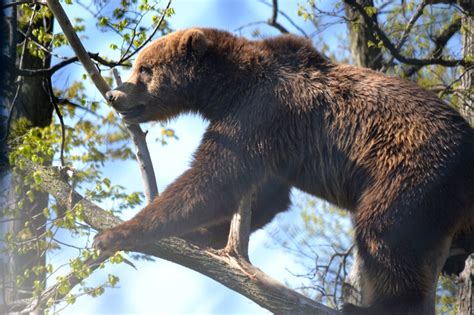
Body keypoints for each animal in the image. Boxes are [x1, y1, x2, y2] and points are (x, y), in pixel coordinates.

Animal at [93, 28, 474, 314]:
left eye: (145, 68)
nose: (114, 94)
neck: (225, 88)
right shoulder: (273, 142)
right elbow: (265, 197)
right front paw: (203, 235)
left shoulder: (259, 113)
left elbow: (214, 179)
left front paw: (115, 234)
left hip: (414, 169)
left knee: (384, 231)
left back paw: (375, 305)